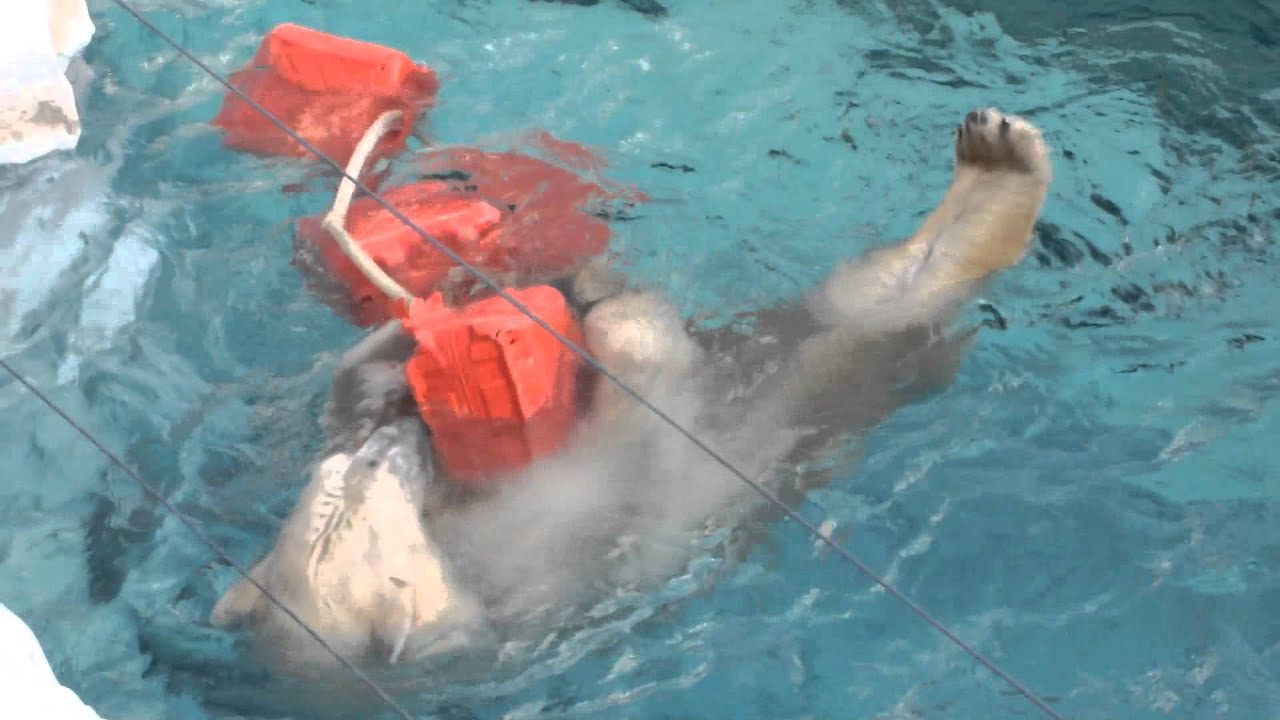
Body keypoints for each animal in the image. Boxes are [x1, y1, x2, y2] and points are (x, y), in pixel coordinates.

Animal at [209, 106, 1052, 675]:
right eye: (349, 507)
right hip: (858, 377)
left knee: (869, 287)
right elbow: (618, 462)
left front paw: (410, 348)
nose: (389, 446)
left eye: (338, 484)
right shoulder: (538, 564)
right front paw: (606, 331)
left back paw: (994, 153)